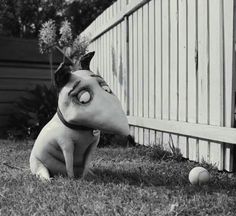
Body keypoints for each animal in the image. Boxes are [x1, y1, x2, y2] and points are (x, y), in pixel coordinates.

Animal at [29, 52, 130, 181]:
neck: (83, 129)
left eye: (106, 89)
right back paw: (48, 180)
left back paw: (94, 175)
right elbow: (69, 161)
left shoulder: (93, 144)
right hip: (36, 162)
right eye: (83, 98)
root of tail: (56, 172)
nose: (124, 127)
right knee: (42, 171)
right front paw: (72, 179)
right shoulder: (65, 142)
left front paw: (84, 177)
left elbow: (86, 162)